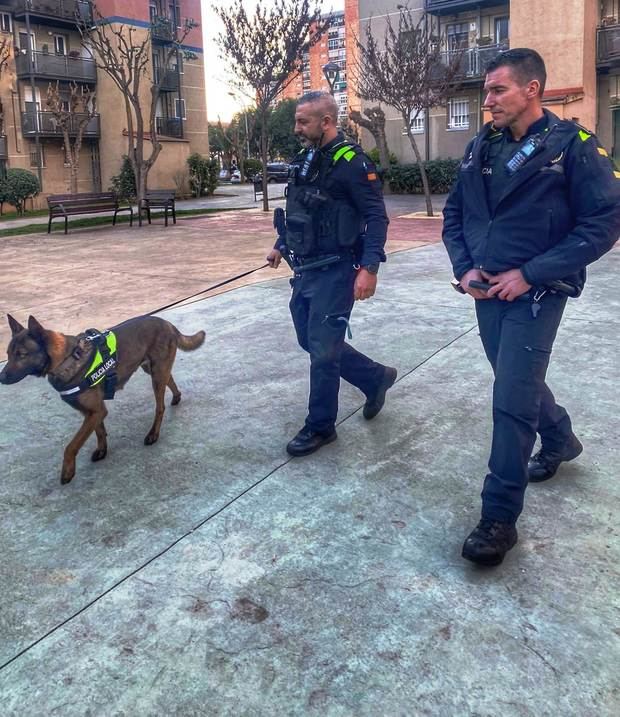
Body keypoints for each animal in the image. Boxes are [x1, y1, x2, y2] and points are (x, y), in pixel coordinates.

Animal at [0, 316, 206, 484]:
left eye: (22, 354)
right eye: (8, 354)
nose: (1, 378)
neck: (66, 359)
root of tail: (167, 323)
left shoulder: (96, 412)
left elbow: (71, 445)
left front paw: (67, 471)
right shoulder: (93, 412)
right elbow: (99, 432)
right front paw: (102, 450)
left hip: (156, 374)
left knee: (160, 406)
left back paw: (153, 433)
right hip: (152, 369)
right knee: (169, 379)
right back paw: (177, 396)